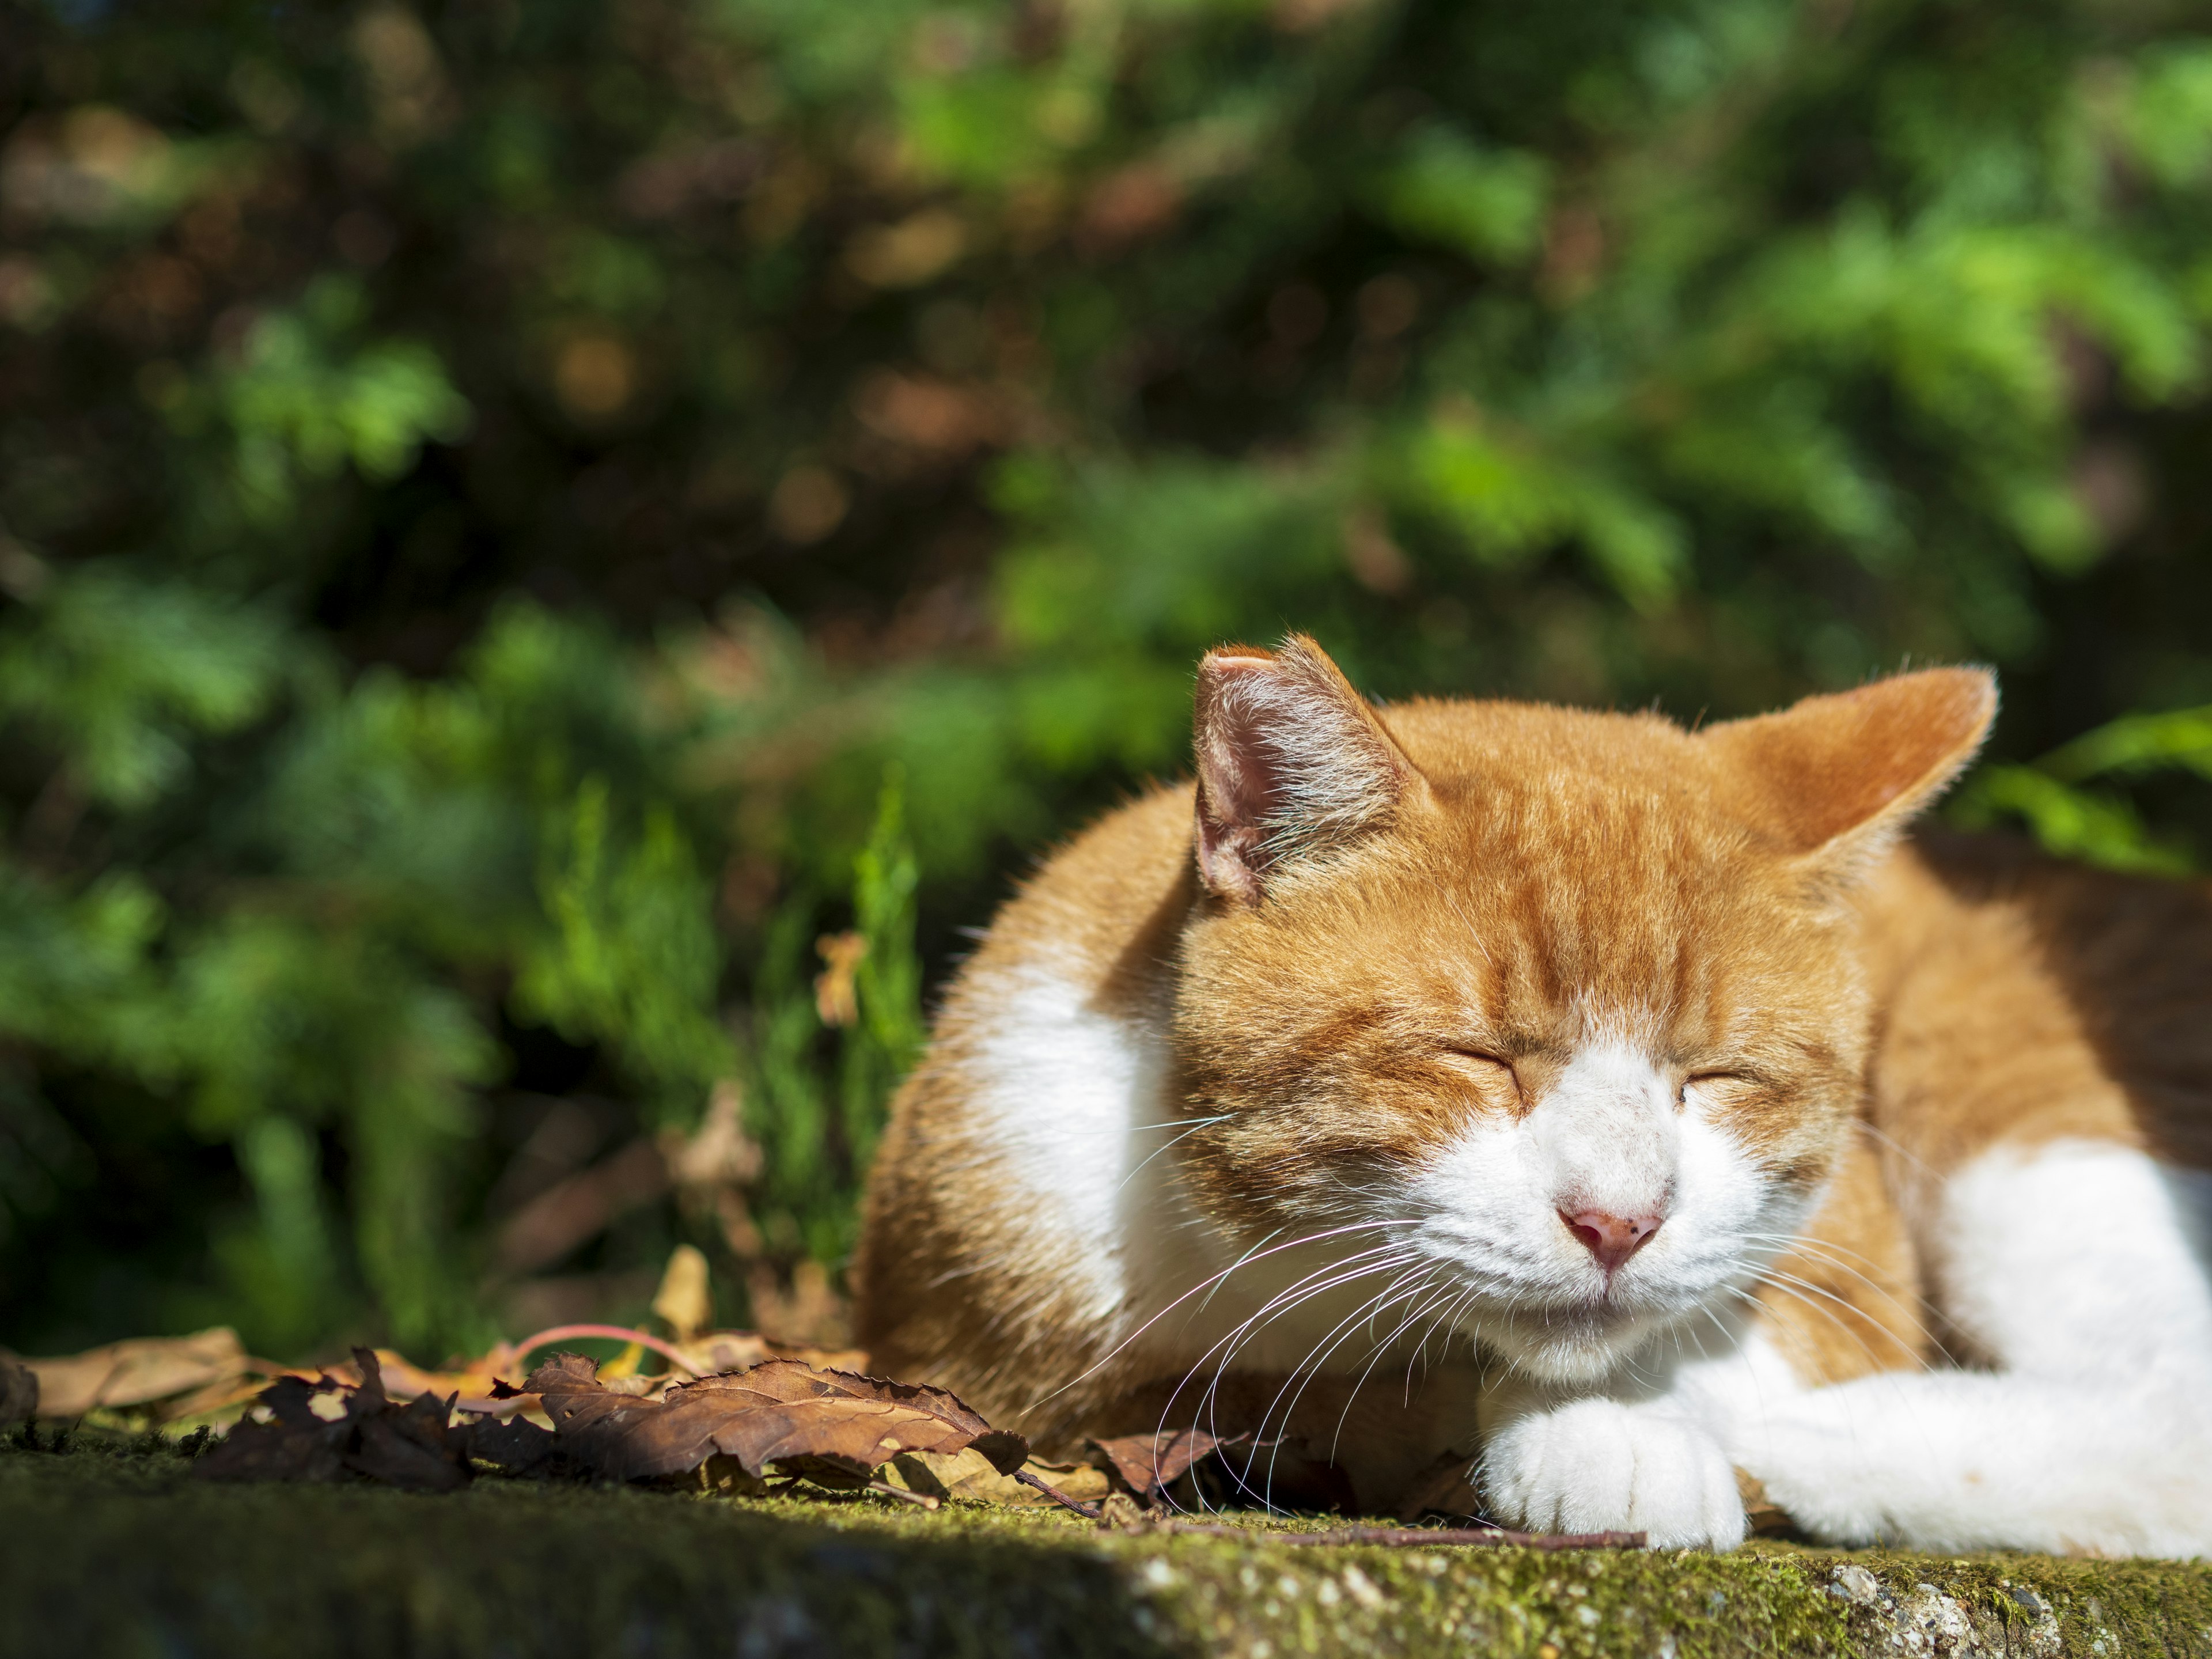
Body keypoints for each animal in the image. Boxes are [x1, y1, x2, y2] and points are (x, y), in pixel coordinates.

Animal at [849, 637, 2212, 1557]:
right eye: (1481, 1057)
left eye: (1714, 1077)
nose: (1619, 1222)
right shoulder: (1003, 1340)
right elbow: (1310, 1399)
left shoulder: (1853, 1258)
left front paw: (1621, 1431)